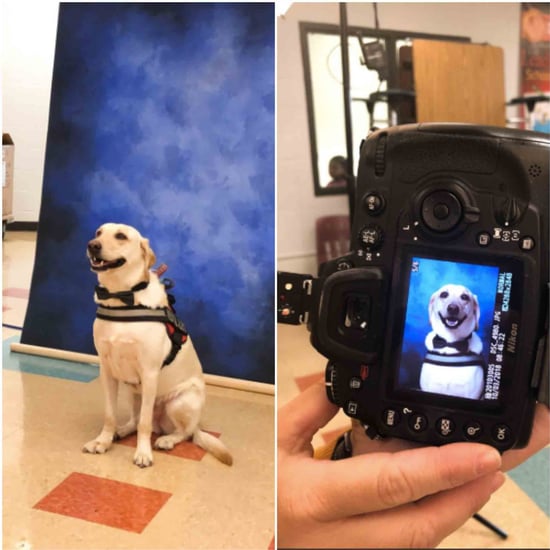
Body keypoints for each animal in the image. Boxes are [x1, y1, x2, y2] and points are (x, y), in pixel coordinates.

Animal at [83, 222, 233, 468]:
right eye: (98, 233)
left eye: (121, 236)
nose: (92, 245)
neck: (123, 297)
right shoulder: (107, 371)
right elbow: (110, 415)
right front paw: (102, 441)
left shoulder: (149, 372)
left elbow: (144, 424)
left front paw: (143, 453)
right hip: (133, 393)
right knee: (135, 420)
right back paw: (121, 431)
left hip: (179, 403)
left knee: (183, 432)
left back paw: (167, 440)